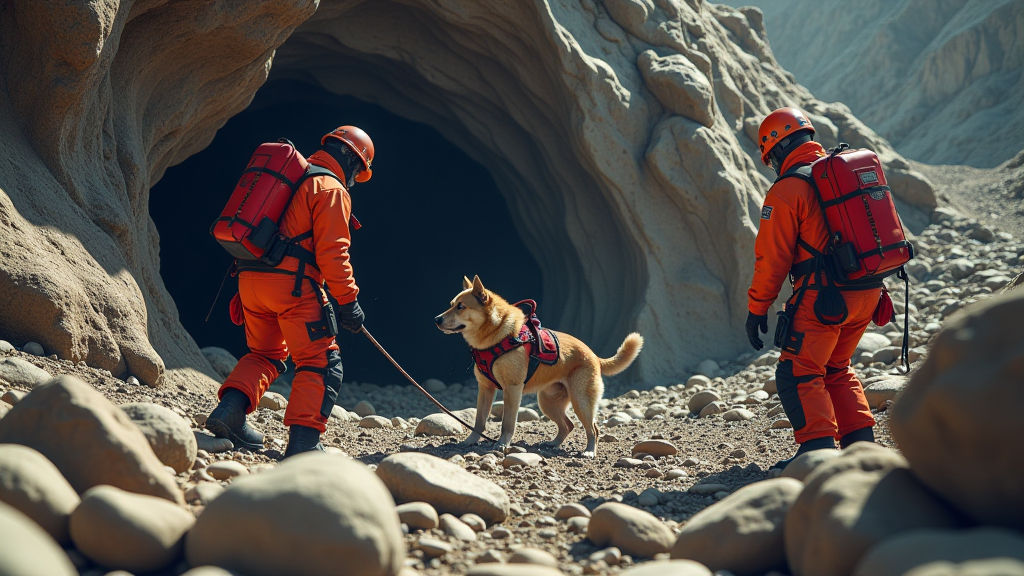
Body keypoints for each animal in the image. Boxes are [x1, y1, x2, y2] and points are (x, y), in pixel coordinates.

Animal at [432, 274, 638, 457]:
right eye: (451, 304)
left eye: (461, 307)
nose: (436, 319)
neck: (496, 337)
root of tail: (594, 356)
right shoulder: (485, 389)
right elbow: (479, 421)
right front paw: (471, 440)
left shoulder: (512, 389)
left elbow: (507, 423)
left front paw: (502, 444)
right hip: (548, 403)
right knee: (568, 425)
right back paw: (553, 443)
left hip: (581, 401)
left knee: (593, 429)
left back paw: (589, 451)